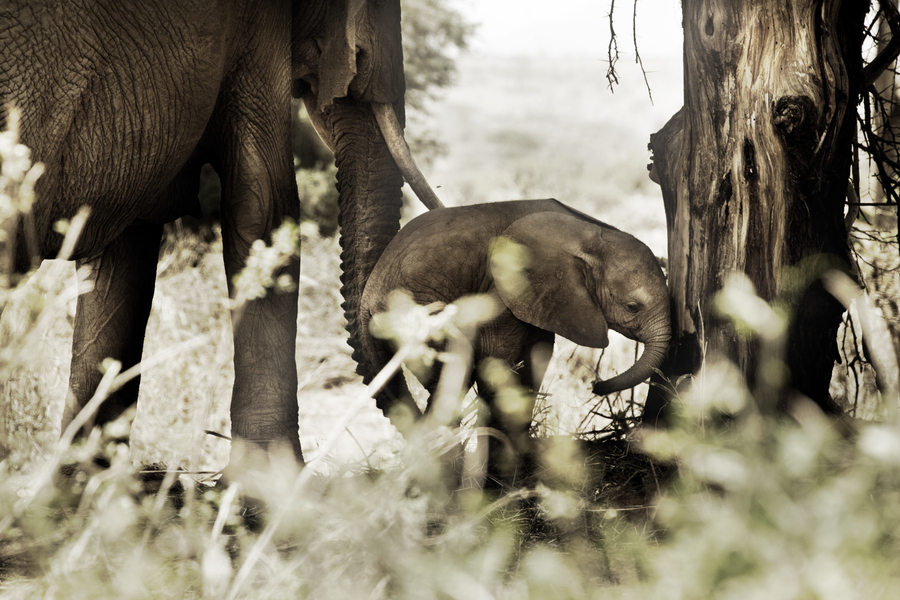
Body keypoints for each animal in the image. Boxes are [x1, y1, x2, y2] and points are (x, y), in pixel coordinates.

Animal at [356, 199, 672, 486]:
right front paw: (502, 473)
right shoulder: (504, 288)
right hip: (418, 313)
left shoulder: (545, 300)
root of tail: (369, 293)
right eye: (633, 307)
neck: (589, 233)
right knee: (449, 382)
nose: (596, 386)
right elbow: (500, 361)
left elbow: (536, 357)